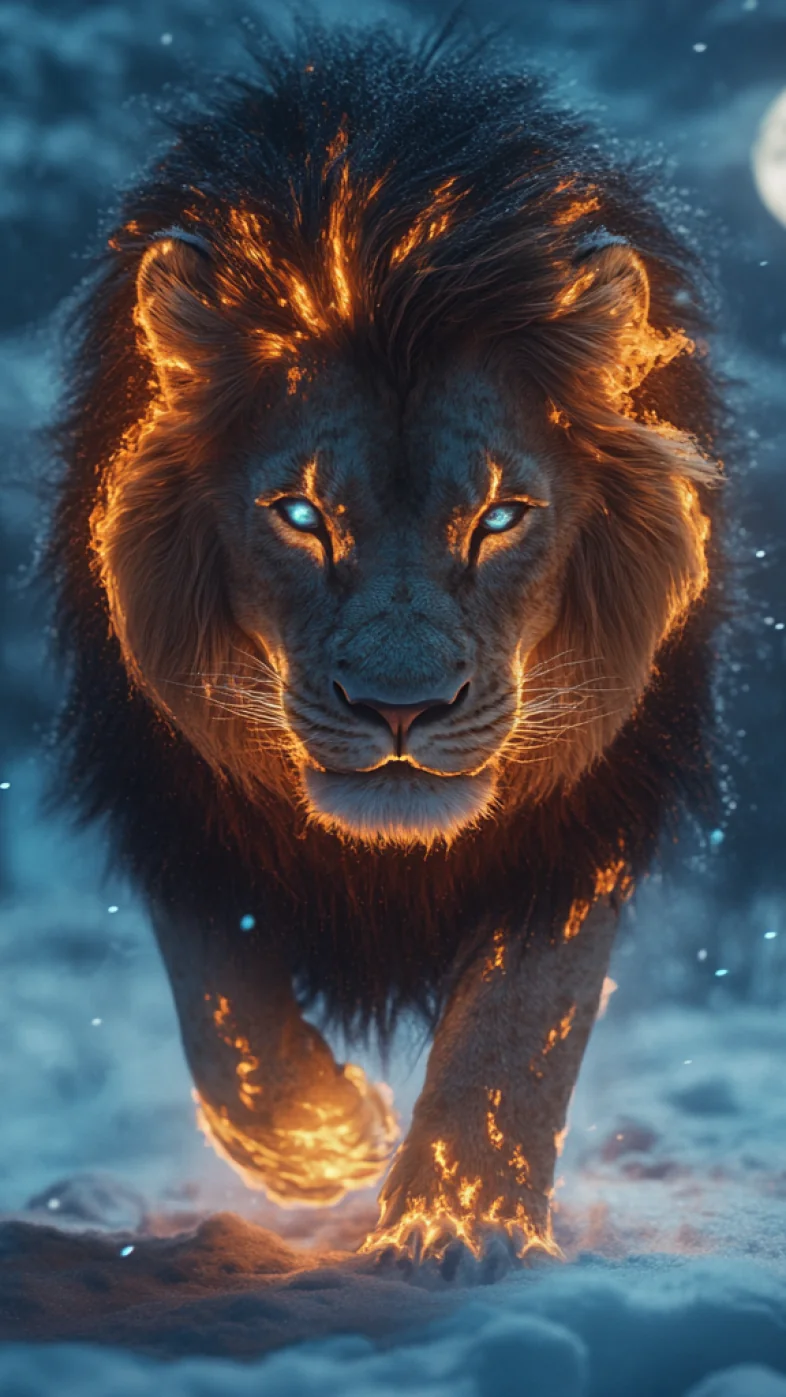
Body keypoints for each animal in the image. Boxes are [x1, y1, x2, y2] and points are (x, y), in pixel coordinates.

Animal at [46, 21, 723, 1270]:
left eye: (499, 517)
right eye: (301, 515)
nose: (399, 709)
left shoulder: (583, 816)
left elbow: (524, 1019)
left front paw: (461, 1218)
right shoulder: (162, 779)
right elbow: (221, 989)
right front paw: (323, 1137)